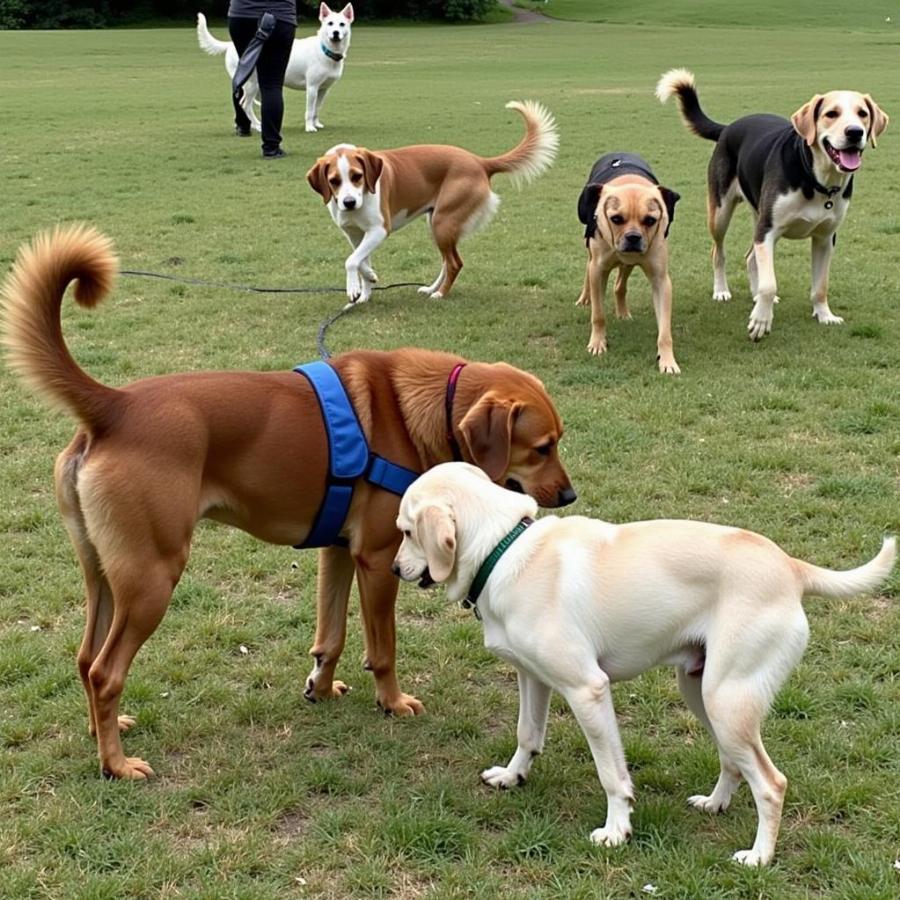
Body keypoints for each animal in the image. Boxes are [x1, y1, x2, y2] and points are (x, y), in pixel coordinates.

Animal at [197, 2, 352, 134]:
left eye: (342, 24)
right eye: (330, 23)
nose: (336, 33)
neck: (325, 49)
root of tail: (230, 45)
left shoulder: (323, 89)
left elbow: (316, 109)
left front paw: (316, 123)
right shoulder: (312, 88)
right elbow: (309, 111)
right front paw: (309, 127)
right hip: (252, 84)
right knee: (245, 105)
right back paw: (257, 126)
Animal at [308, 101, 556, 306]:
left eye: (357, 176)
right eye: (334, 181)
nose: (349, 202)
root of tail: (480, 162)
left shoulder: (379, 230)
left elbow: (351, 261)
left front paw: (354, 288)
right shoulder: (355, 234)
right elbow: (360, 261)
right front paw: (367, 287)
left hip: (442, 223)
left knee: (455, 263)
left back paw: (440, 294)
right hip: (437, 223)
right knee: (447, 261)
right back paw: (430, 288)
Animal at [392, 464, 892, 864]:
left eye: (406, 531)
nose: (395, 569)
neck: (503, 548)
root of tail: (790, 566)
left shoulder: (588, 690)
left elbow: (612, 775)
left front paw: (616, 831)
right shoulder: (533, 678)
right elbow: (527, 735)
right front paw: (513, 776)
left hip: (727, 703)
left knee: (771, 783)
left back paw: (759, 857)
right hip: (703, 694)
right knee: (734, 764)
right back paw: (715, 804)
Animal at [576, 155, 684, 376]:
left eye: (650, 220)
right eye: (616, 218)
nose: (633, 237)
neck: (629, 181)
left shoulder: (661, 279)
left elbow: (665, 331)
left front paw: (667, 360)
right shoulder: (598, 270)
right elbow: (598, 314)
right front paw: (597, 343)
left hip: (630, 262)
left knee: (620, 283)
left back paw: (623, 312)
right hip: (590, 248)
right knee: (588, 268)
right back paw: (585, 297)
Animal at [656, 68, 888, 340]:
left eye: (863, 114)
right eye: (832, 114)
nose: (855, 132)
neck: (815, 179)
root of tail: (728, 127)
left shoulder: (824, 238)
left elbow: (820, 285)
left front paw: (824, 315)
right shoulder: (767, 231)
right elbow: (769, 284)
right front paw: (761, 320)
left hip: (758, 216)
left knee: (749, 257)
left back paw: (755, 296)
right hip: (721, 214)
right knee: (718, 252)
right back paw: (722, 290)